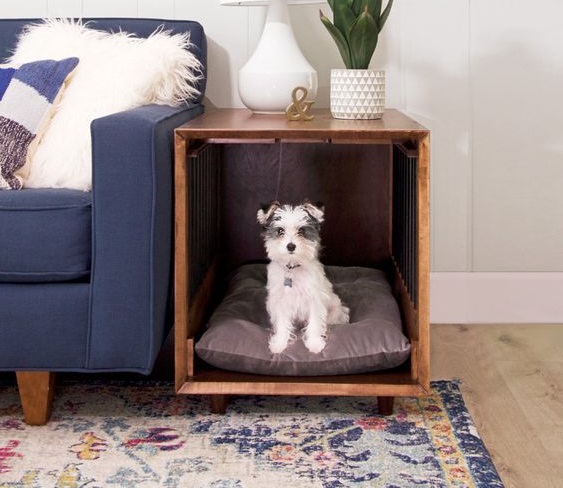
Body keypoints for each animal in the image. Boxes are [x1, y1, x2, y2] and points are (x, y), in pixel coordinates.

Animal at [258, 200, 350, 352]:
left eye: (301, 231)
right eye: (280, 231)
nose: (290, 246)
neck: (292, 268)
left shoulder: (314, 299)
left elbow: (315, 322)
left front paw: (314, 343)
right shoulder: (280, 300)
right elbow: (282, 323)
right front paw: (280, 343)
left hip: (335, 310)